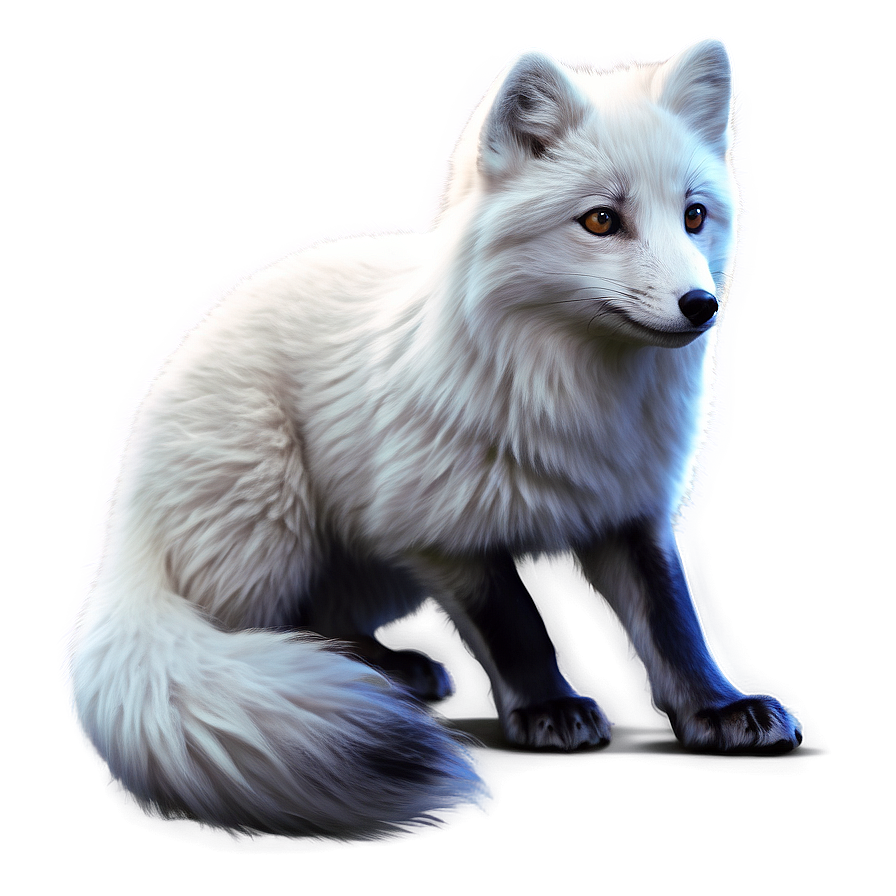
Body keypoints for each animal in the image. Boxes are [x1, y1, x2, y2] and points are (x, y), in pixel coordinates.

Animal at [65, 35, 802, 838]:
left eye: (695, 216)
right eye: (602, 221)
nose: (702, 305)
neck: (573, 396)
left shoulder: (627, 511)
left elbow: (674, 627)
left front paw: (718, 710)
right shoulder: (440, 533)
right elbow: (517, 626)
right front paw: (550, 709)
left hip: (364, 570)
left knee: (321, 623)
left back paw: (384, 670)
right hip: (273, 528)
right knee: (252, 640)